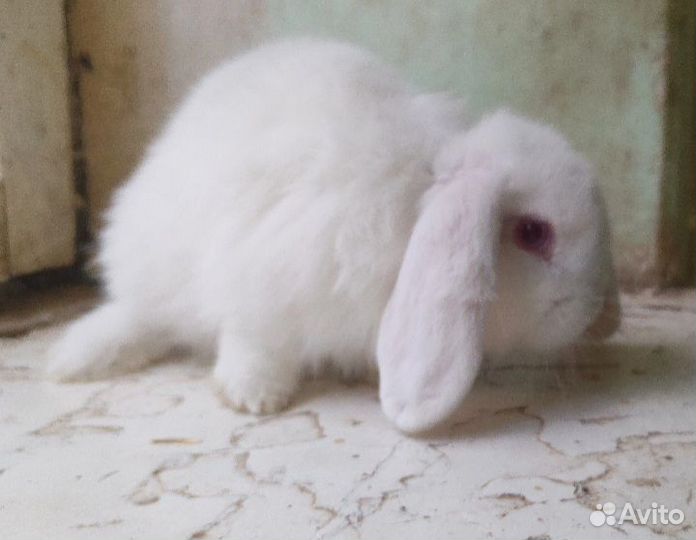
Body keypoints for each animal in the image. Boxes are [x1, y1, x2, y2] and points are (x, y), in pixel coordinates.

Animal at [46, 38, 619, 433]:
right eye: (533, 232)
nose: (605, 319)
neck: (416, 202)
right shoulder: (265, 279)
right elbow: (255, 341)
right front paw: (254, 397)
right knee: (144, 314)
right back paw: (75, 359)